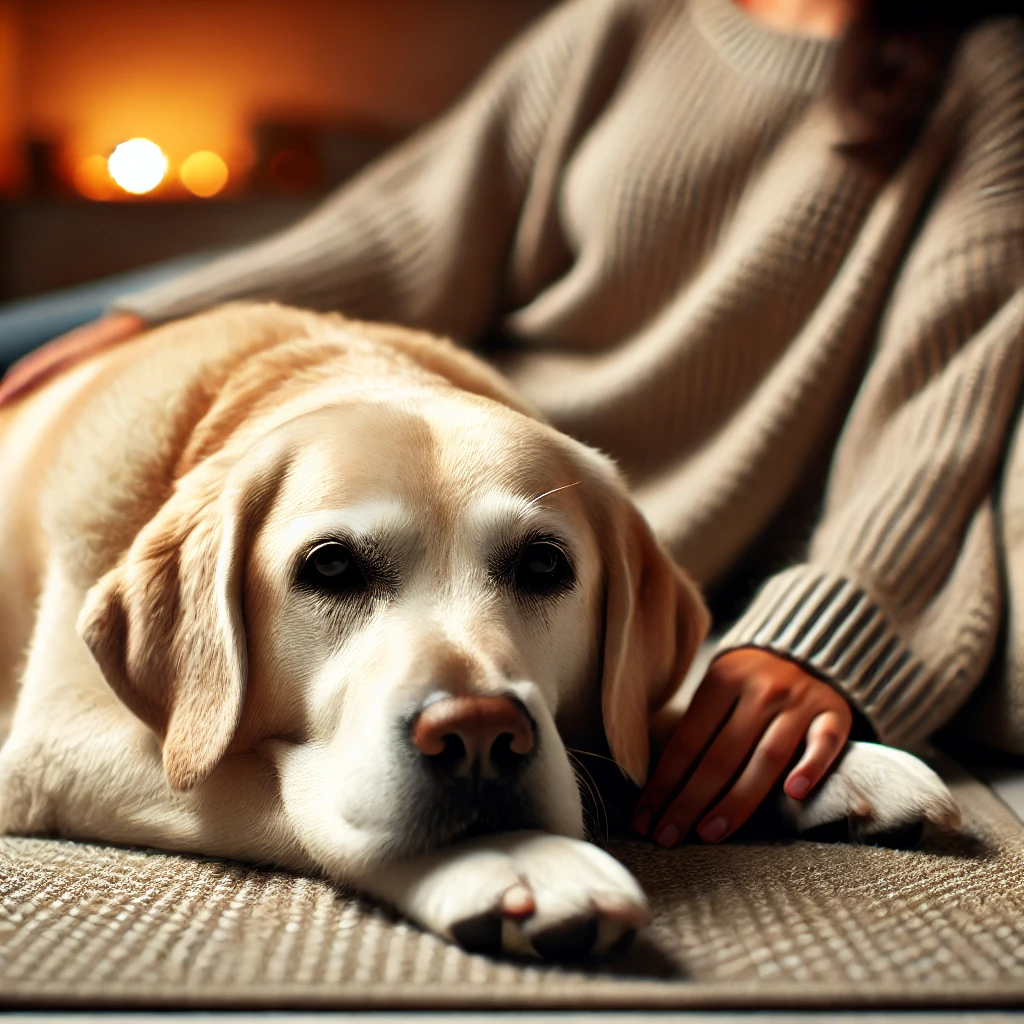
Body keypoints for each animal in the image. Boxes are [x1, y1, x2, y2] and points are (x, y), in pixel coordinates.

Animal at [0, 303, 958, 958]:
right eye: (329, 567)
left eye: (544, 566)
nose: (479, 737)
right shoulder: (51, 744)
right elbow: (280, 786)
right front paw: (512, 857)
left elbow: (636, 729)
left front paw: (810, 757)